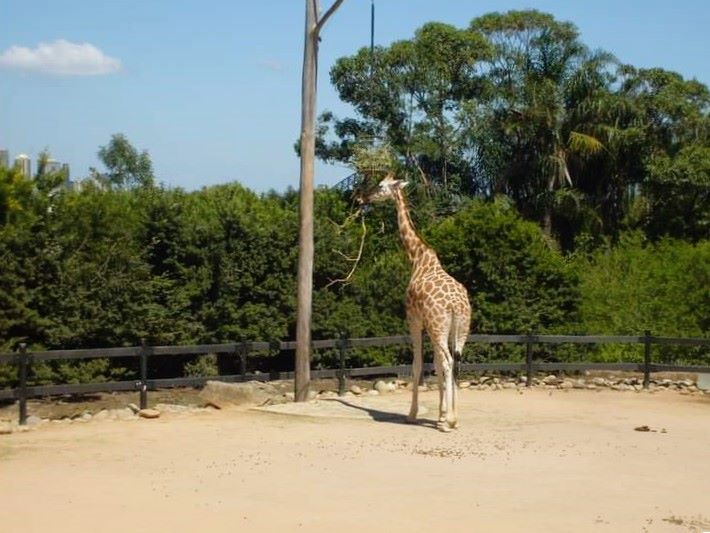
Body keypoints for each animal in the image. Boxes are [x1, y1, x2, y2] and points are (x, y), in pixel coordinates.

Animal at [362, 176, 472, 432]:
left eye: (381, 186)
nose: (363, 197)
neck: (417, 258)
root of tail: (456, 305)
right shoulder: (431, 326)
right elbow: (436, 366)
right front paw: (441, 415)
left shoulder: (414, 318)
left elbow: (418, 364)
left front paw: (413, 415)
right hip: (460, 328)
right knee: (455, 361)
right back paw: (453, 419)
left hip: (439, 326)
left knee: (449, 362)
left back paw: (449, 422)